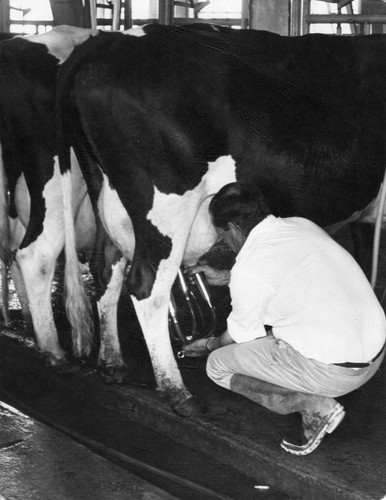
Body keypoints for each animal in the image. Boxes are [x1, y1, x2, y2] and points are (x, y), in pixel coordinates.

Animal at [57, 23, 386, 414]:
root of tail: (109, 40)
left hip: (107, 199)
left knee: (106, 268)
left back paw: (112, 363)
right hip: (166, 208)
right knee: (147, 288)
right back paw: (176, 390)